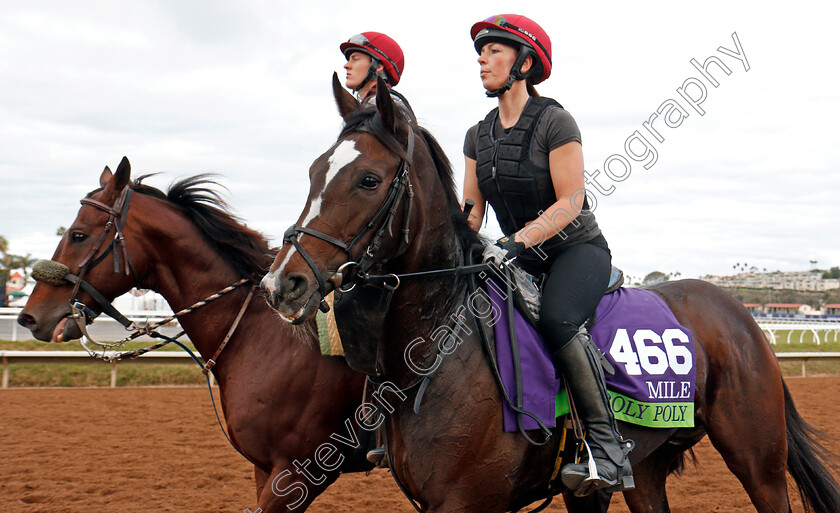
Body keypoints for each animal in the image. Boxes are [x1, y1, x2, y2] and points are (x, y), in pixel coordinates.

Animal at [262, 77, 840, 512]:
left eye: (367, 179)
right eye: (313, 172)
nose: (281, 284)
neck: (439, 352)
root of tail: (737, 310)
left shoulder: (467, 503)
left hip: (758, 460)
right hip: (648, 467)